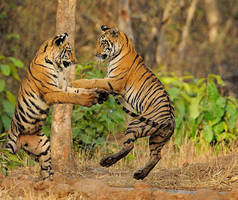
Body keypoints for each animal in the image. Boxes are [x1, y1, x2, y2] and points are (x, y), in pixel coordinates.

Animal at [70, 25, 175, 180]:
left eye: (103, 43)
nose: (96, 54)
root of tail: (170, 120)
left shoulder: (113, 82)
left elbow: (93, 81)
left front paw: (75, 82)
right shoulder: (110, 83)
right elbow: (98, 87)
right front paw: (98, 96)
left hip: (136, 124)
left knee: (129, 146)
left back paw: (106, 161)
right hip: (158, 138)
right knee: (156, 156)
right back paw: (140, 174)